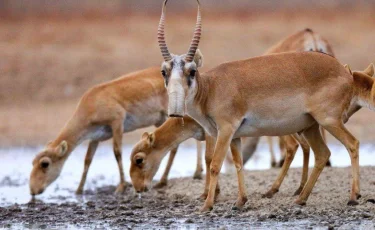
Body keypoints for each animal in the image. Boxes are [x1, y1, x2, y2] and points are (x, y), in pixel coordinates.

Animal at [29, 65, 206, 196]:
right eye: (32, 162)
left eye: (45, 163)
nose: (32, 191)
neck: (91, 103)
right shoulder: (95, 137)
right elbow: (88, 160)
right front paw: (79, 190)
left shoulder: (117, 123)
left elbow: (117, 152)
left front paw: (121, 186)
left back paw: (179, 176)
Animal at [153, 0, 374, 211]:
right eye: (164, 71)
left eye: (191, 71)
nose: (175, 111)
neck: (211, 88)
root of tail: (345, 72)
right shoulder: (235, 136)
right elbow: (238, 164)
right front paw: (240, 201)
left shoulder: (225, 130)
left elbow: (215, 164)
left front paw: (206, 206)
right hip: (310, 126)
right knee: (322, 154)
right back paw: (300, 199)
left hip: (329, 121)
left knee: (352, 144)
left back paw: (353, 197)